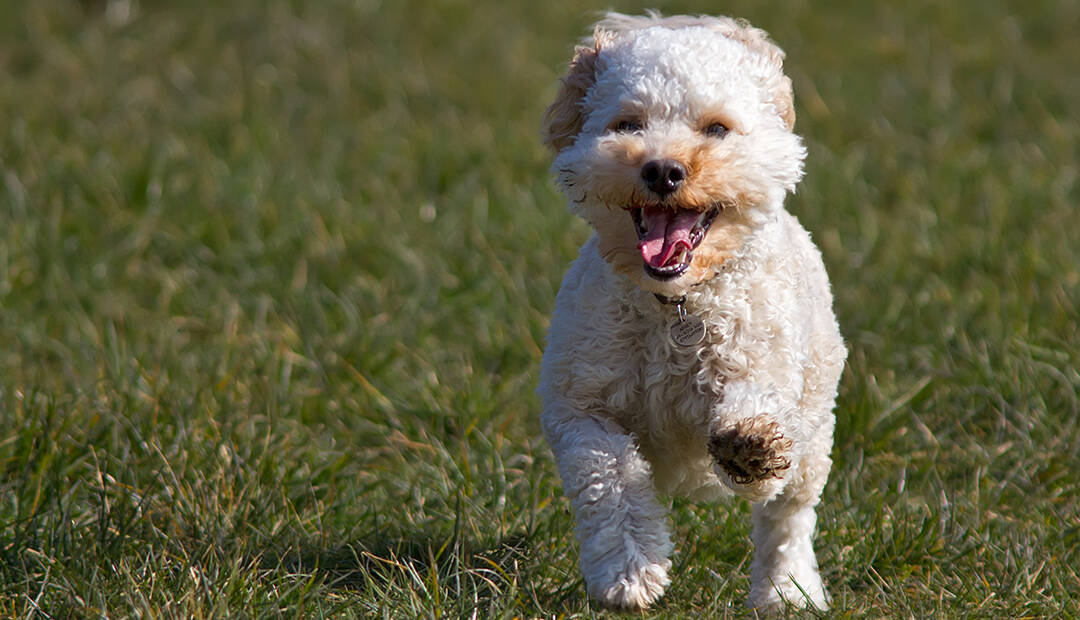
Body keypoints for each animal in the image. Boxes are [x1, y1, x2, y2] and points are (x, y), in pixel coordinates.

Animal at [535, 12, 846, 613]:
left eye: (717, 129)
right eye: (627, 124)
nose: (662, 170)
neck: (675, 303)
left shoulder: (765, 368)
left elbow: (757, 435)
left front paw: (749, 445)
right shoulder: (579, 405)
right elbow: (608, 475)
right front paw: (629, 573)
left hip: (816, 422)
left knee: (789, 516)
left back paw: (786, 591)